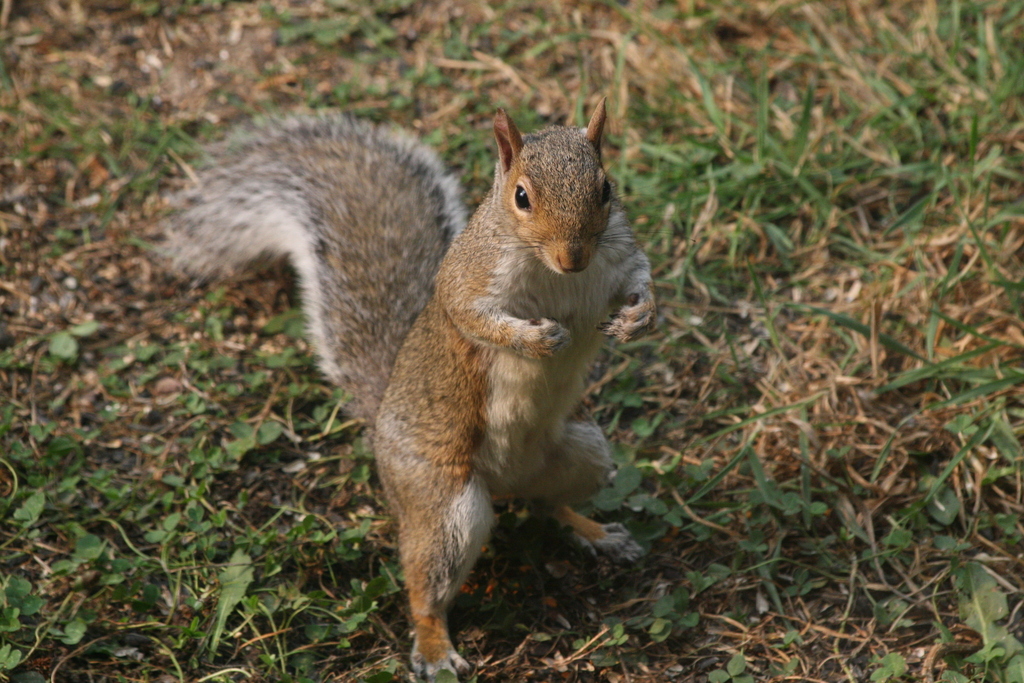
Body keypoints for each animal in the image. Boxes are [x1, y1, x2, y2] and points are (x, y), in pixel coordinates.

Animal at [159, 98, 655, 679]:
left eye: (605, 188)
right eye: (521, 196)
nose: (573, 257)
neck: (553, 273)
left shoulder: (619, 258)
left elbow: (641, 280)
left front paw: (639, 319)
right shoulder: (470, 278)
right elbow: (472, 317)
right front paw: (536, 338)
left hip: (585, 454)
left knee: (548, 505)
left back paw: (597, 534)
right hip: (442, 507)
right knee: (426, 589)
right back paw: (437, 650)